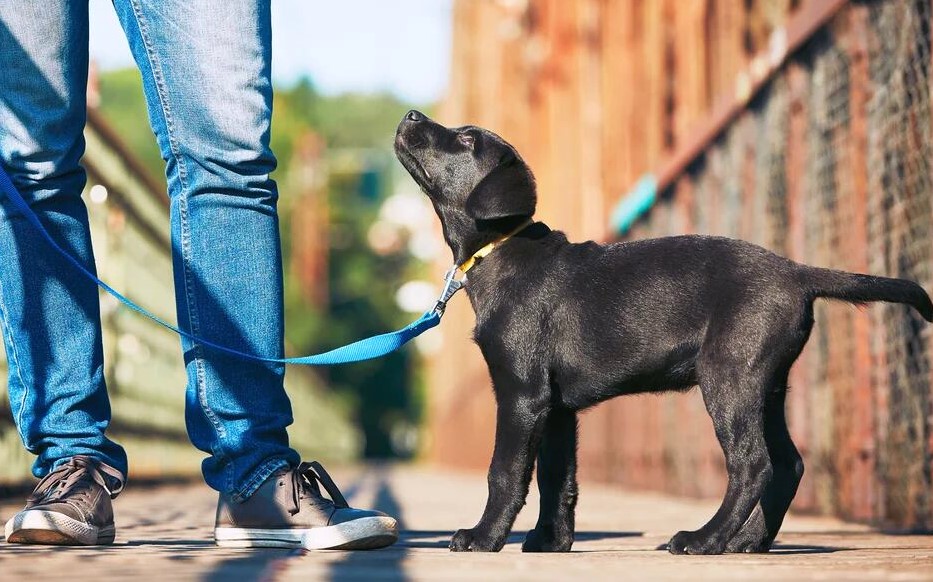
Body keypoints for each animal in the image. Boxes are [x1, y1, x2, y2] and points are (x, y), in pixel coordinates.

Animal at [394, 108, 932, 556]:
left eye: (466, 138)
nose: (411, 114)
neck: (500, 249)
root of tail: (798, 272)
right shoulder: (557, 408)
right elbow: (557, 479)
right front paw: (551, 542)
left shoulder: (522, 394)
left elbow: (505, 473)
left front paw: (483, 537)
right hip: (766, 384)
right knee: (787, 465)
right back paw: (747, 542)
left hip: (729, 377)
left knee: (753, 464)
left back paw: (705, 539)